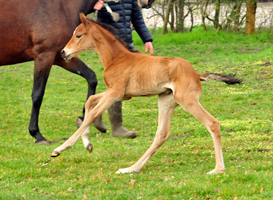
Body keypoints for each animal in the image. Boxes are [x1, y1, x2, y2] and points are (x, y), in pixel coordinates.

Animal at [0, 0, 153, 145]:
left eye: (78, 35)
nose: (148, 2)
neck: (60, 8)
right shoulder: (44, 56)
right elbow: (37, 95)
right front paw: (37, 134)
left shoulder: (61, 57)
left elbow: (91, 78)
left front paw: (84, 117)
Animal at [52, 13, 240, 174]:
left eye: (78, 35)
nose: (63, 52)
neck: (116, 58)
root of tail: (196, 74)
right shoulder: (121, 94)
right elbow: (90, 101)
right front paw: (89, 143)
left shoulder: (115, 92)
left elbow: (91, 115)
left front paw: (59, 149)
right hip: (166, 100)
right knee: (162, 134)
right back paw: (131, 169)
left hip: (187, 100)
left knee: (212, 123)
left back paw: (218, 169)